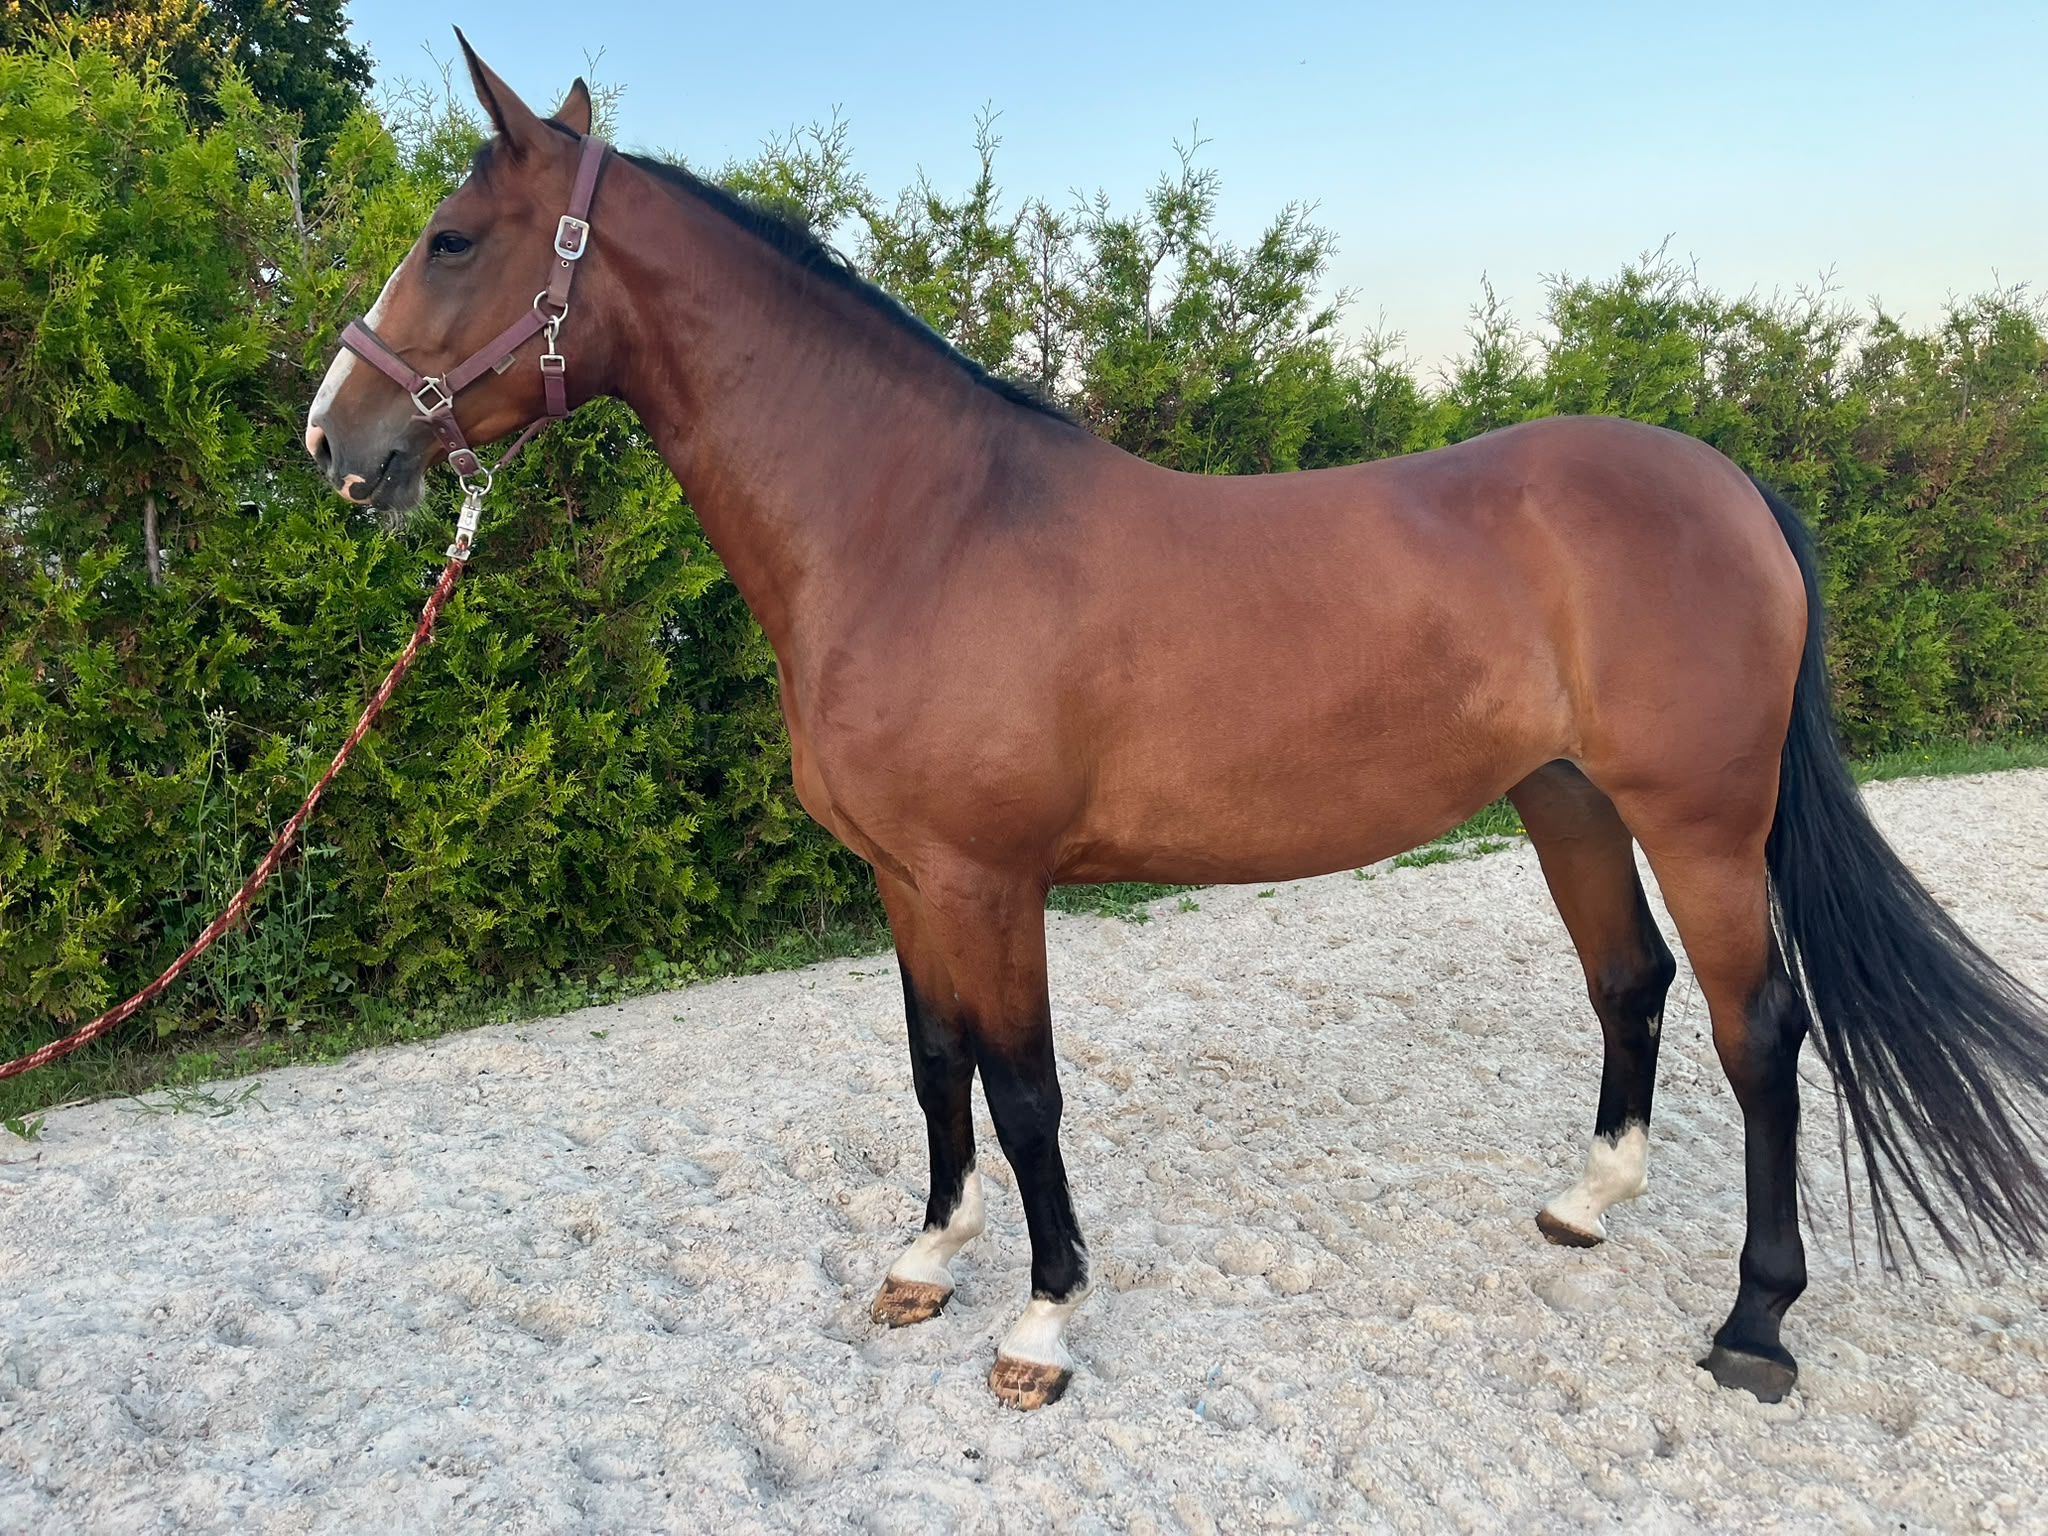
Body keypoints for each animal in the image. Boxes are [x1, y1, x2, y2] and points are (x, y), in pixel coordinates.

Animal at [302, 38, 2048, 1412]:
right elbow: (935, 1065)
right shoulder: (905, 878)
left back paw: (1755, 1322)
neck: (917, 524)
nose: (335, 437)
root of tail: (1731, 483)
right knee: (1632, 983)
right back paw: (1586, 1203)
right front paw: (927, 1256)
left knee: (1764, 1033)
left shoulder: (991, 879)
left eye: (452, 240)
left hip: (1699, 819)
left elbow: (1025, 1091)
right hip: (1566, 800)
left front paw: (1041, 1324)